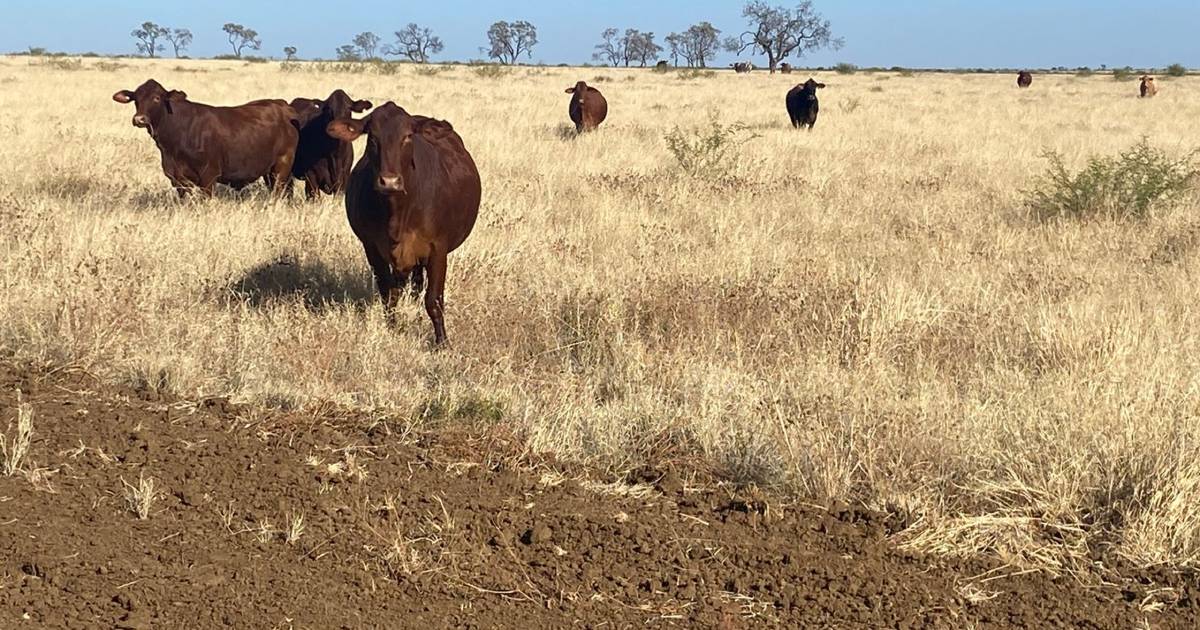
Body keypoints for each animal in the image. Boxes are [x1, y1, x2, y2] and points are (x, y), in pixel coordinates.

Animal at [112, 79, 300, 196]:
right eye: (135, 99)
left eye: (157, 98)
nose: (139, 119)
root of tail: (283, 105)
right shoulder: (177, 178)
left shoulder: (209, 176)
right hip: (268, 171)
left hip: (282, 166)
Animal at [328, 105, 482, 345]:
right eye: (373, 137)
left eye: (408, 136)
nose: (389, 181)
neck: (397, 214)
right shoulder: (372, 248)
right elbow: (388, 293)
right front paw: (392, 327)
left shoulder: (438, 249)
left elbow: (434, 300)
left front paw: (441, 341)